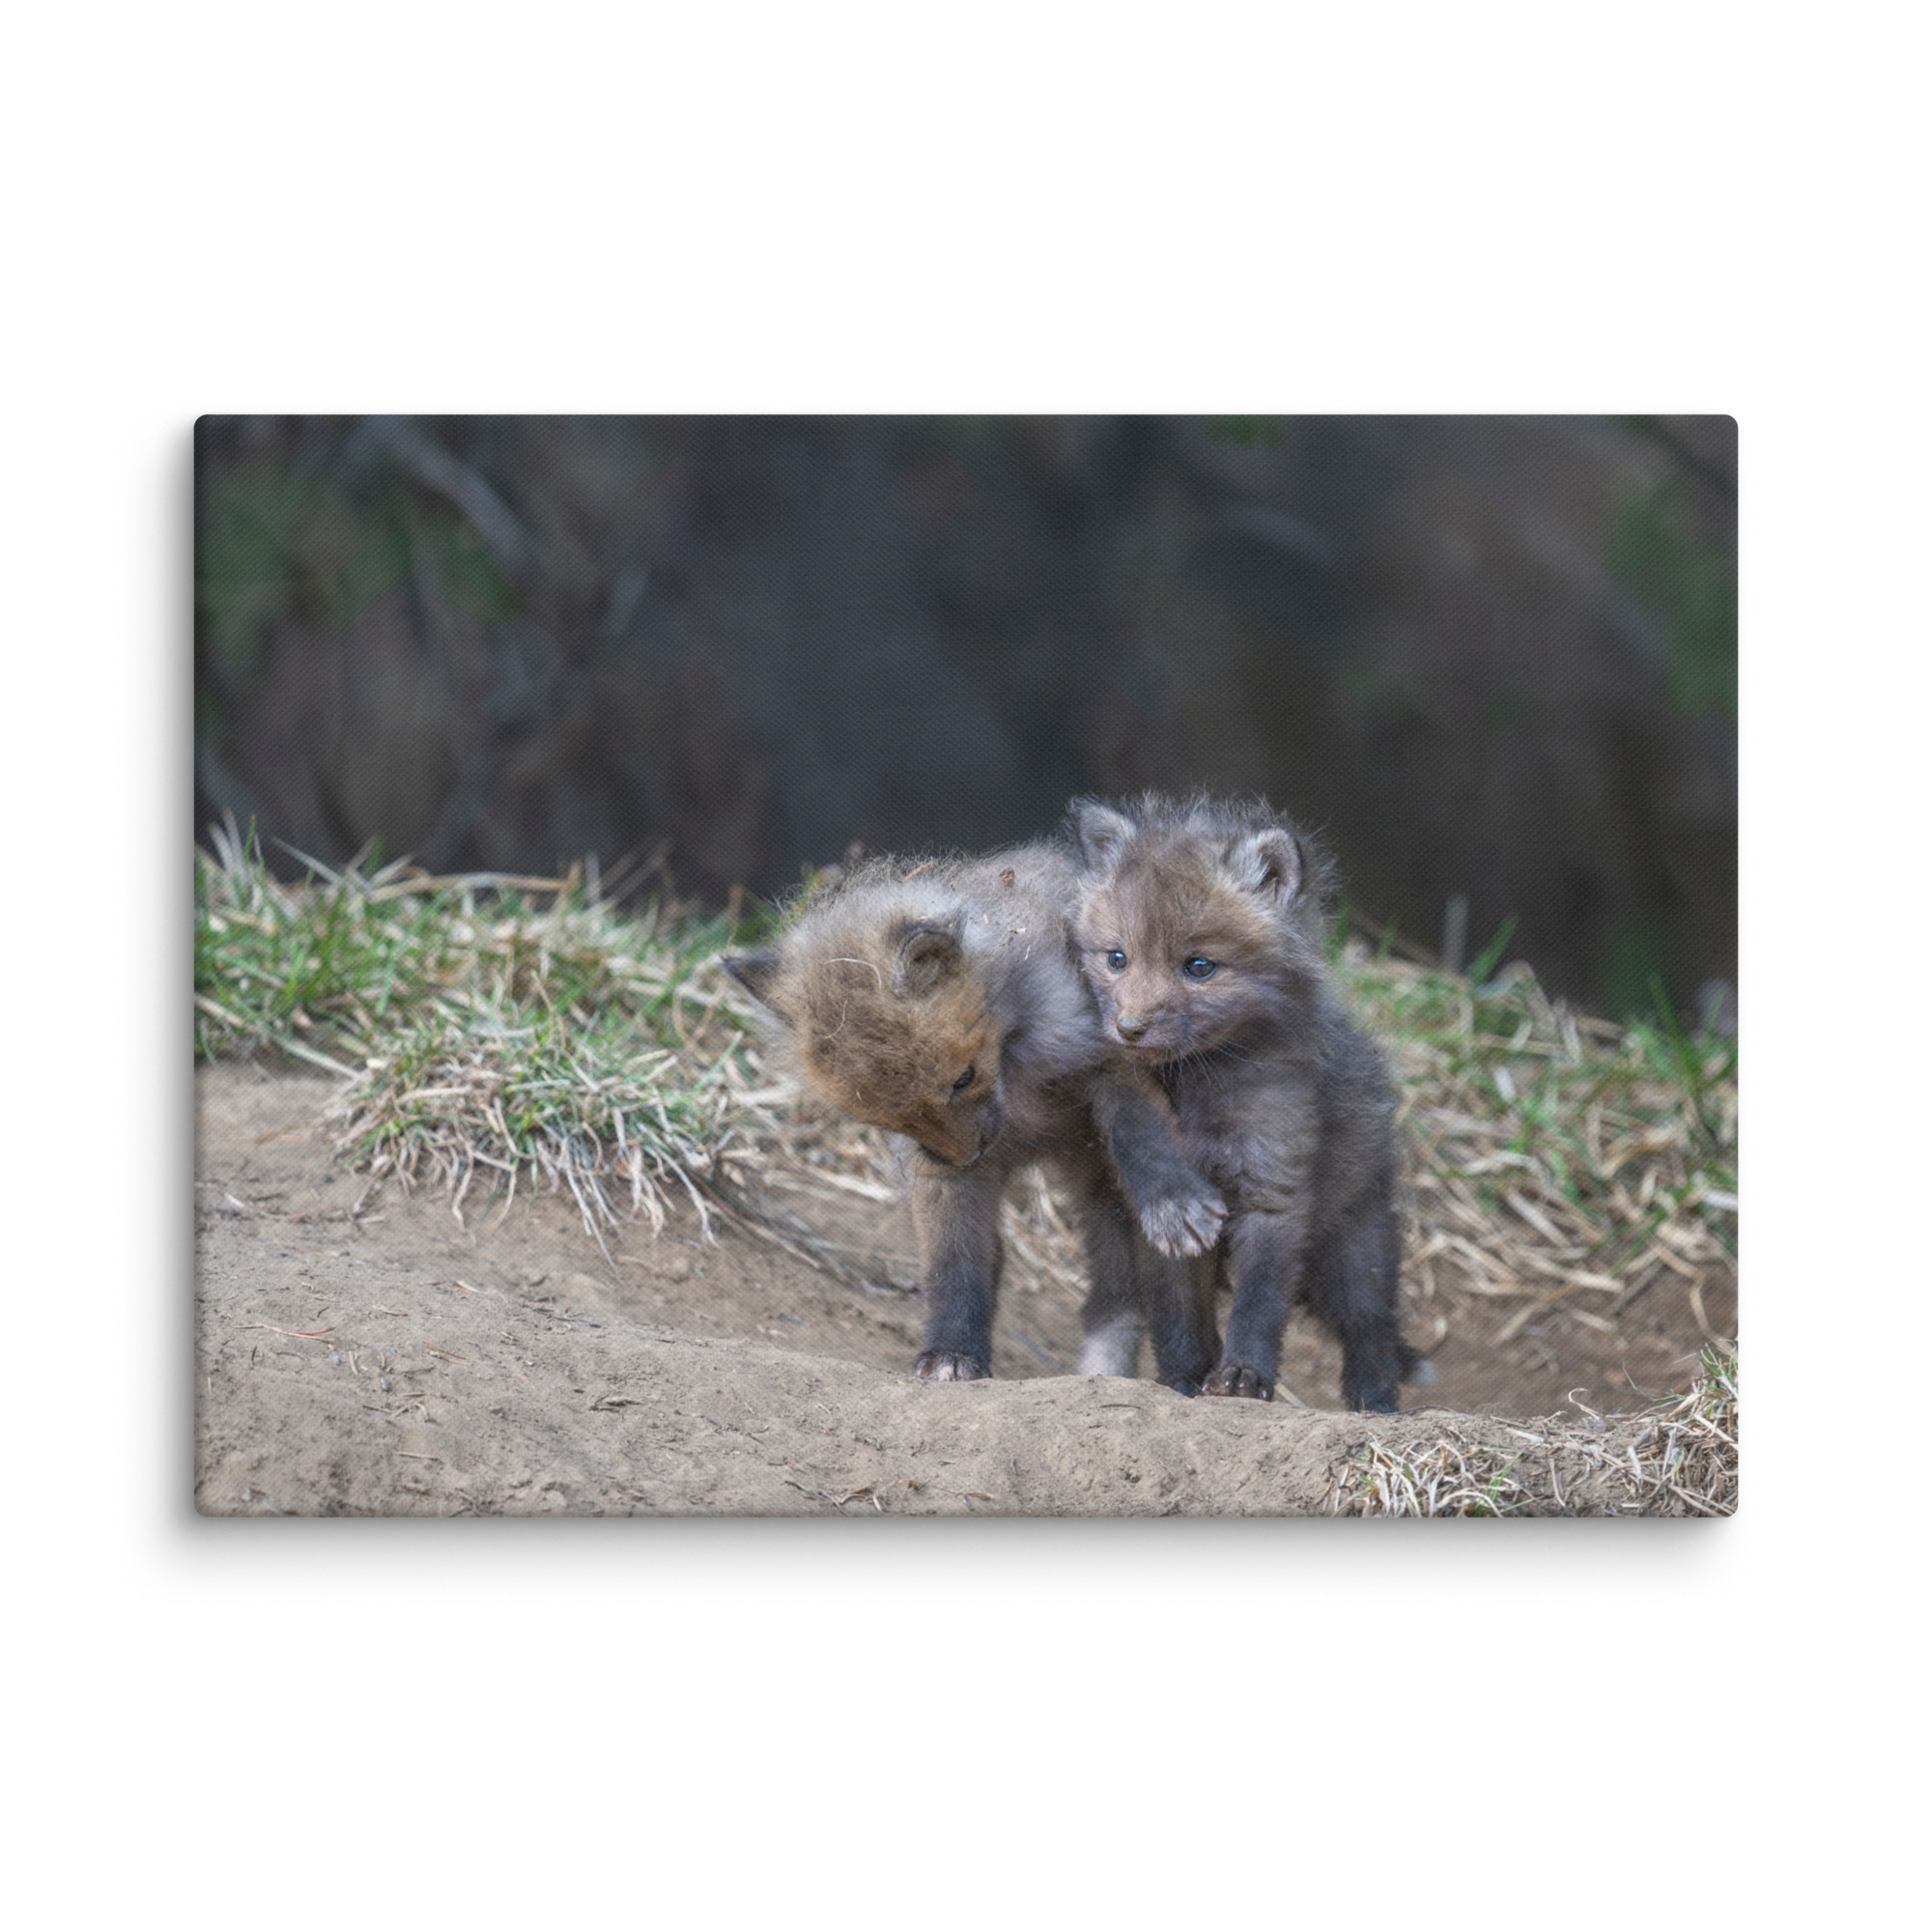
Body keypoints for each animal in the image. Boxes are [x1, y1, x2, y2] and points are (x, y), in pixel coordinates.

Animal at [722, 844, 1228, 1385]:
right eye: (888, 1119)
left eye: (963, 1078)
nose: (968, 1157)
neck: (1017, 1074)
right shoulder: (938, 1172)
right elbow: (954, 1265)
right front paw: (952, 1351)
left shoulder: (1111, 1054)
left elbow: (1142, 1136)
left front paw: (1172, 1200)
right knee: (1112, 1296)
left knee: (1170, 1297)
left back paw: (1187, 1377)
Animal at [1068, 794, 1424, 1411]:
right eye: (1116, 958)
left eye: (1199, 967)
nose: (1129, 1028)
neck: (1198, 1088)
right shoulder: (1168, 1225)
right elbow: (1178, 1316)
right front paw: (1183, 1381)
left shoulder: (1273, 1189)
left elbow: (1259, 1304)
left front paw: (1242, 1378)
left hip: (1355, 1246)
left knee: (1371, 1328)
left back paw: (1375, 1405)